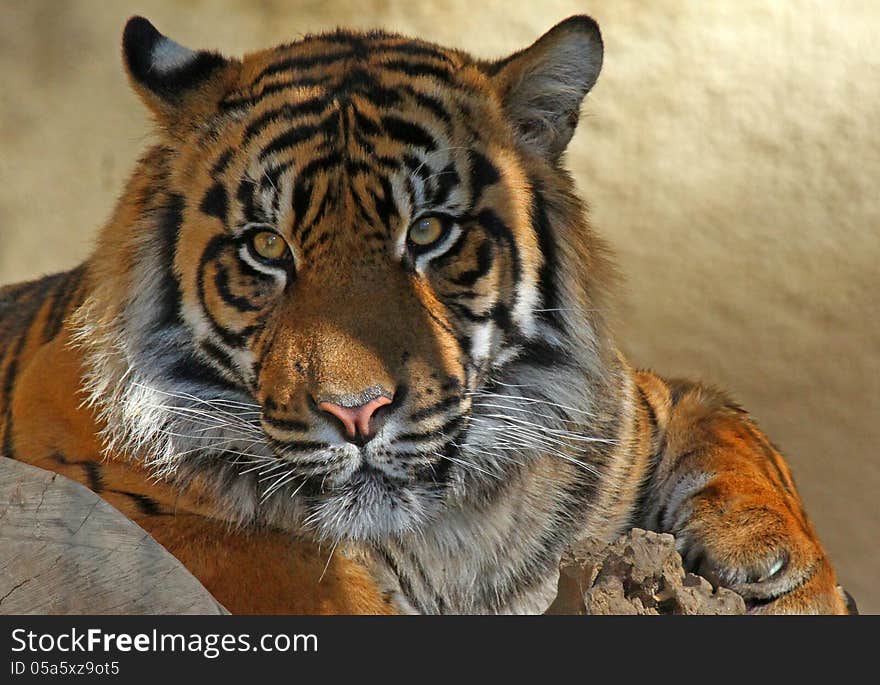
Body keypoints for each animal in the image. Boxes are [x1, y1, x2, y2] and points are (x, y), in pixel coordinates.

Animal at [0, 13, 852, 612]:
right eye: (267, 246)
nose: (357, 412)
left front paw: (781, 569)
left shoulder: (639, 403)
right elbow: (267, 558)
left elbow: (738, 432)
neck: (446, 535)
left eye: (429, 232)